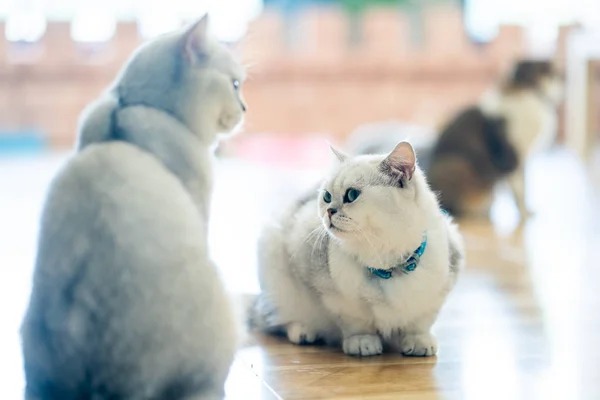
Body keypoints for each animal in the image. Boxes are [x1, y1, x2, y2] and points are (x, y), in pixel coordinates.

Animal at [248, 141, 464, 356]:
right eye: (327, 196)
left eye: (352, 195)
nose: (329, 211)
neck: (387, 265)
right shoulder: (337, 299)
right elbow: (357, 324)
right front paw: (362, 342)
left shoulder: (436, 295)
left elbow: (419, 323)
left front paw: (419, 341)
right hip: (276, 271)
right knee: (280, 319)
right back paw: (304, 331)